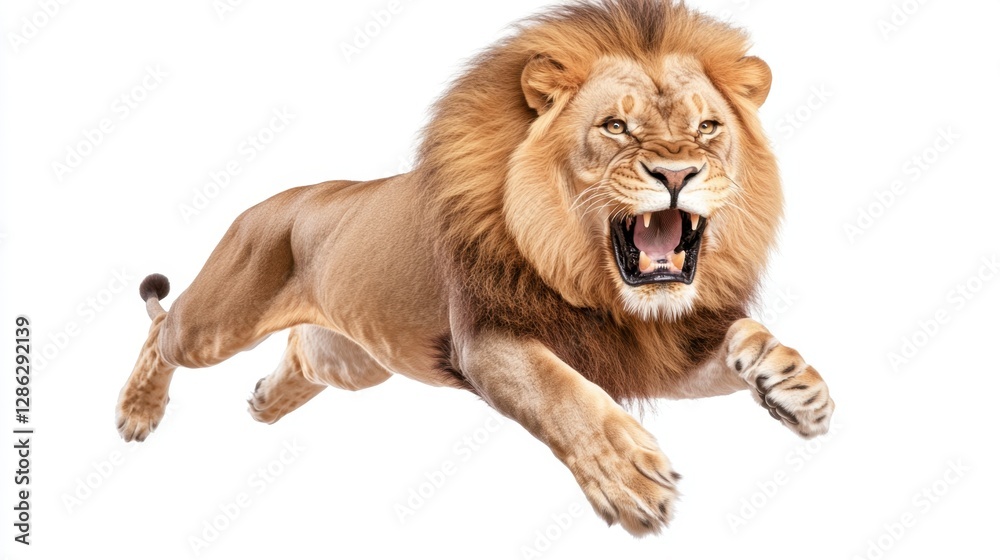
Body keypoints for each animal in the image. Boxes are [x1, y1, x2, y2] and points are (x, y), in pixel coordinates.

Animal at [116, 0, 834, 536]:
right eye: (615, 127)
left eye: (709, 127)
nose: (679, 172)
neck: (603, 289)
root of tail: (277, 201)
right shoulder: (488, 339)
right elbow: (562, 394)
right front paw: (627, 474)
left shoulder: (656, 350)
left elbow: (746, 336)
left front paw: (795, 385)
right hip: (218, 321)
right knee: (161, 330)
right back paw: (137, 413)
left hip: (353, 360)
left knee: (300, 355)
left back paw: (265, 402)